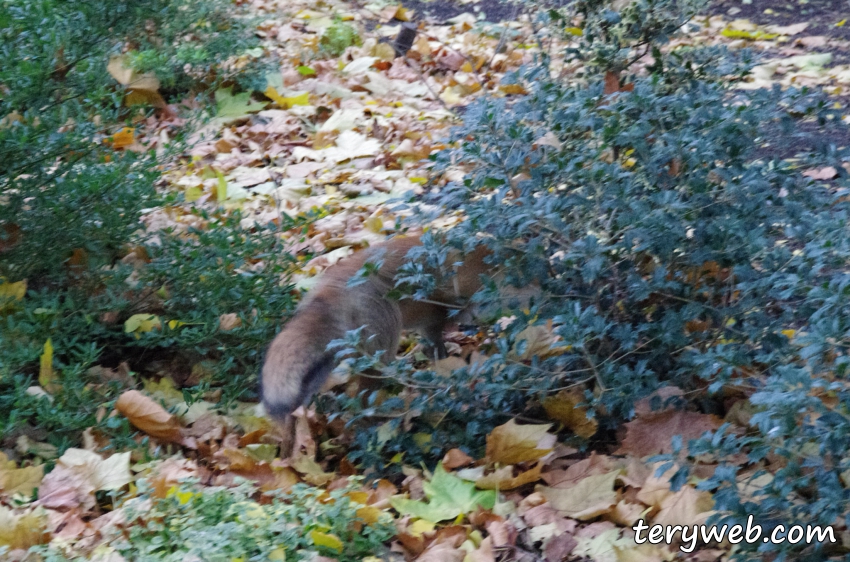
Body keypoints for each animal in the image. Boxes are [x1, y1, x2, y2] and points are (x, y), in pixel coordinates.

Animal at [262, 232, 494, 456]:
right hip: (381, 353)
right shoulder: (438, 317)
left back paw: (288, 457)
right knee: (362, 404)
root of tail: (328, 288)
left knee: (295, 415)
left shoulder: (431, 326)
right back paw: (382, 431)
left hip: (328, 366)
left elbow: (437, 353)